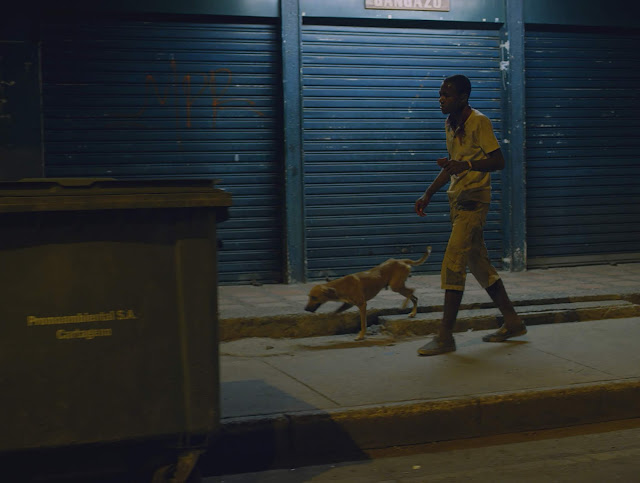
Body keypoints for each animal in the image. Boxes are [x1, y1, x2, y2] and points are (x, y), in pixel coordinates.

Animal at [304, 248, 432, 342]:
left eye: (314, 297)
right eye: (309, 296)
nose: (305, 309)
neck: (340, 286)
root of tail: (401, 260)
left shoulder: (362, 304)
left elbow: (363, 323)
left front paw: (361, 336)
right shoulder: (348, 304)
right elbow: (334, 313)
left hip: (396, 286)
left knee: (412, 291)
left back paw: (405, 306)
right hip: (398, 286)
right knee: (414, 296)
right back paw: (413, 313)